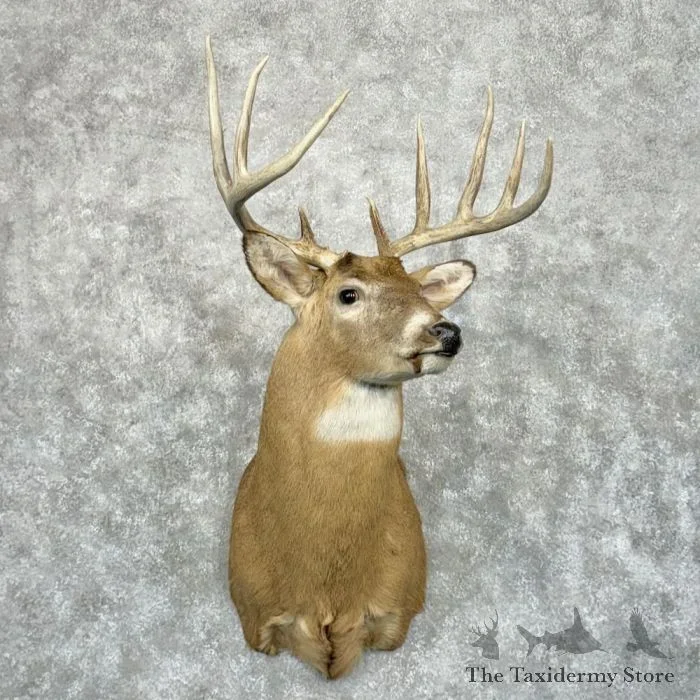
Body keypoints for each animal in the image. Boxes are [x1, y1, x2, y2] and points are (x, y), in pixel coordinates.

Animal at [204, 36, 553, 679]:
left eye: (420, 291)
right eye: (348, 294)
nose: (446, 330)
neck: (326, 585)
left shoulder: (400, 607)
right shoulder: (254, 615)